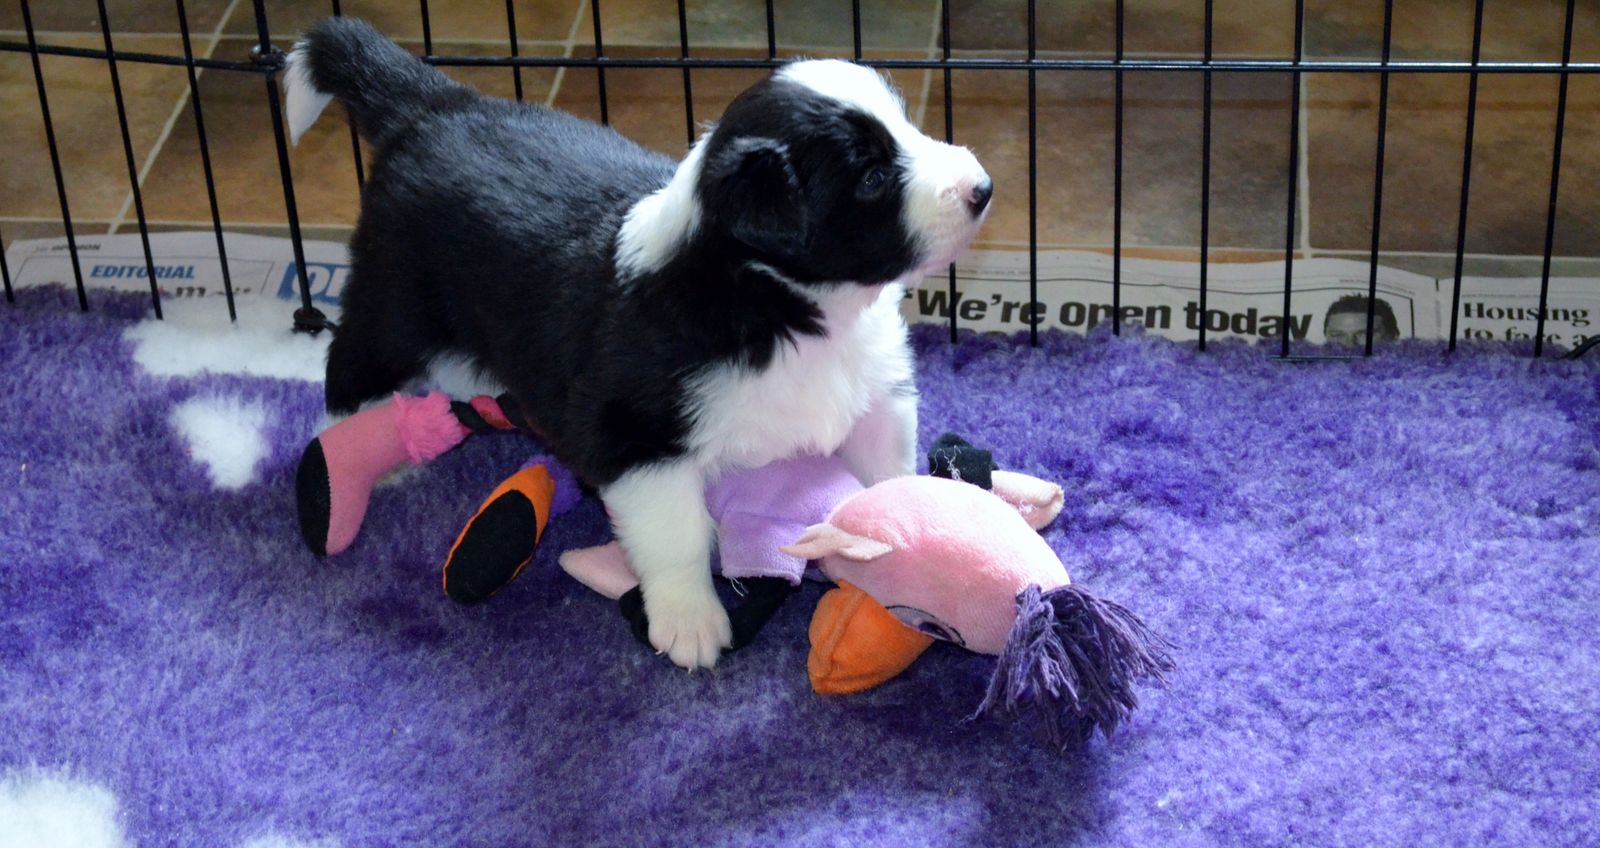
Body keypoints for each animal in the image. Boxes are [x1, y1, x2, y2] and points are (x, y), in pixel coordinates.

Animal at [286, 18, 992, 670]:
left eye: (907, 127)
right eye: (871, 177)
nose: (983, 187)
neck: (787, 306)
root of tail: (435, 105)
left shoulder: (875, 395)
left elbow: (886, 471)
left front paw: (918, 526)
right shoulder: (636, 436)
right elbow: (677, 533)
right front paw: (690, 622)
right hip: (398, 298)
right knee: (349, 357)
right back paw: (363, 441)